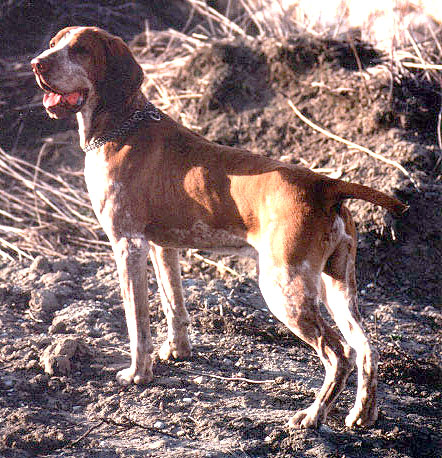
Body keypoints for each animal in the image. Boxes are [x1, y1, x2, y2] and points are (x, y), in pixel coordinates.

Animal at [31, 26, 408, 430]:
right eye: (53, 43)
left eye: (81, 50)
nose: (37, 63)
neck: (121, 125)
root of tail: (325, 185)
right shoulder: (163, 247)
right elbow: (174, 305)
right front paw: (176, 352)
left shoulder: (127, 245)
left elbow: (137, 322)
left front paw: (138, 375)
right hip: (337, 286)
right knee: (366, 348)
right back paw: (362, 414)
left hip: (283, 288)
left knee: (338, 353)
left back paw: (312, 415)